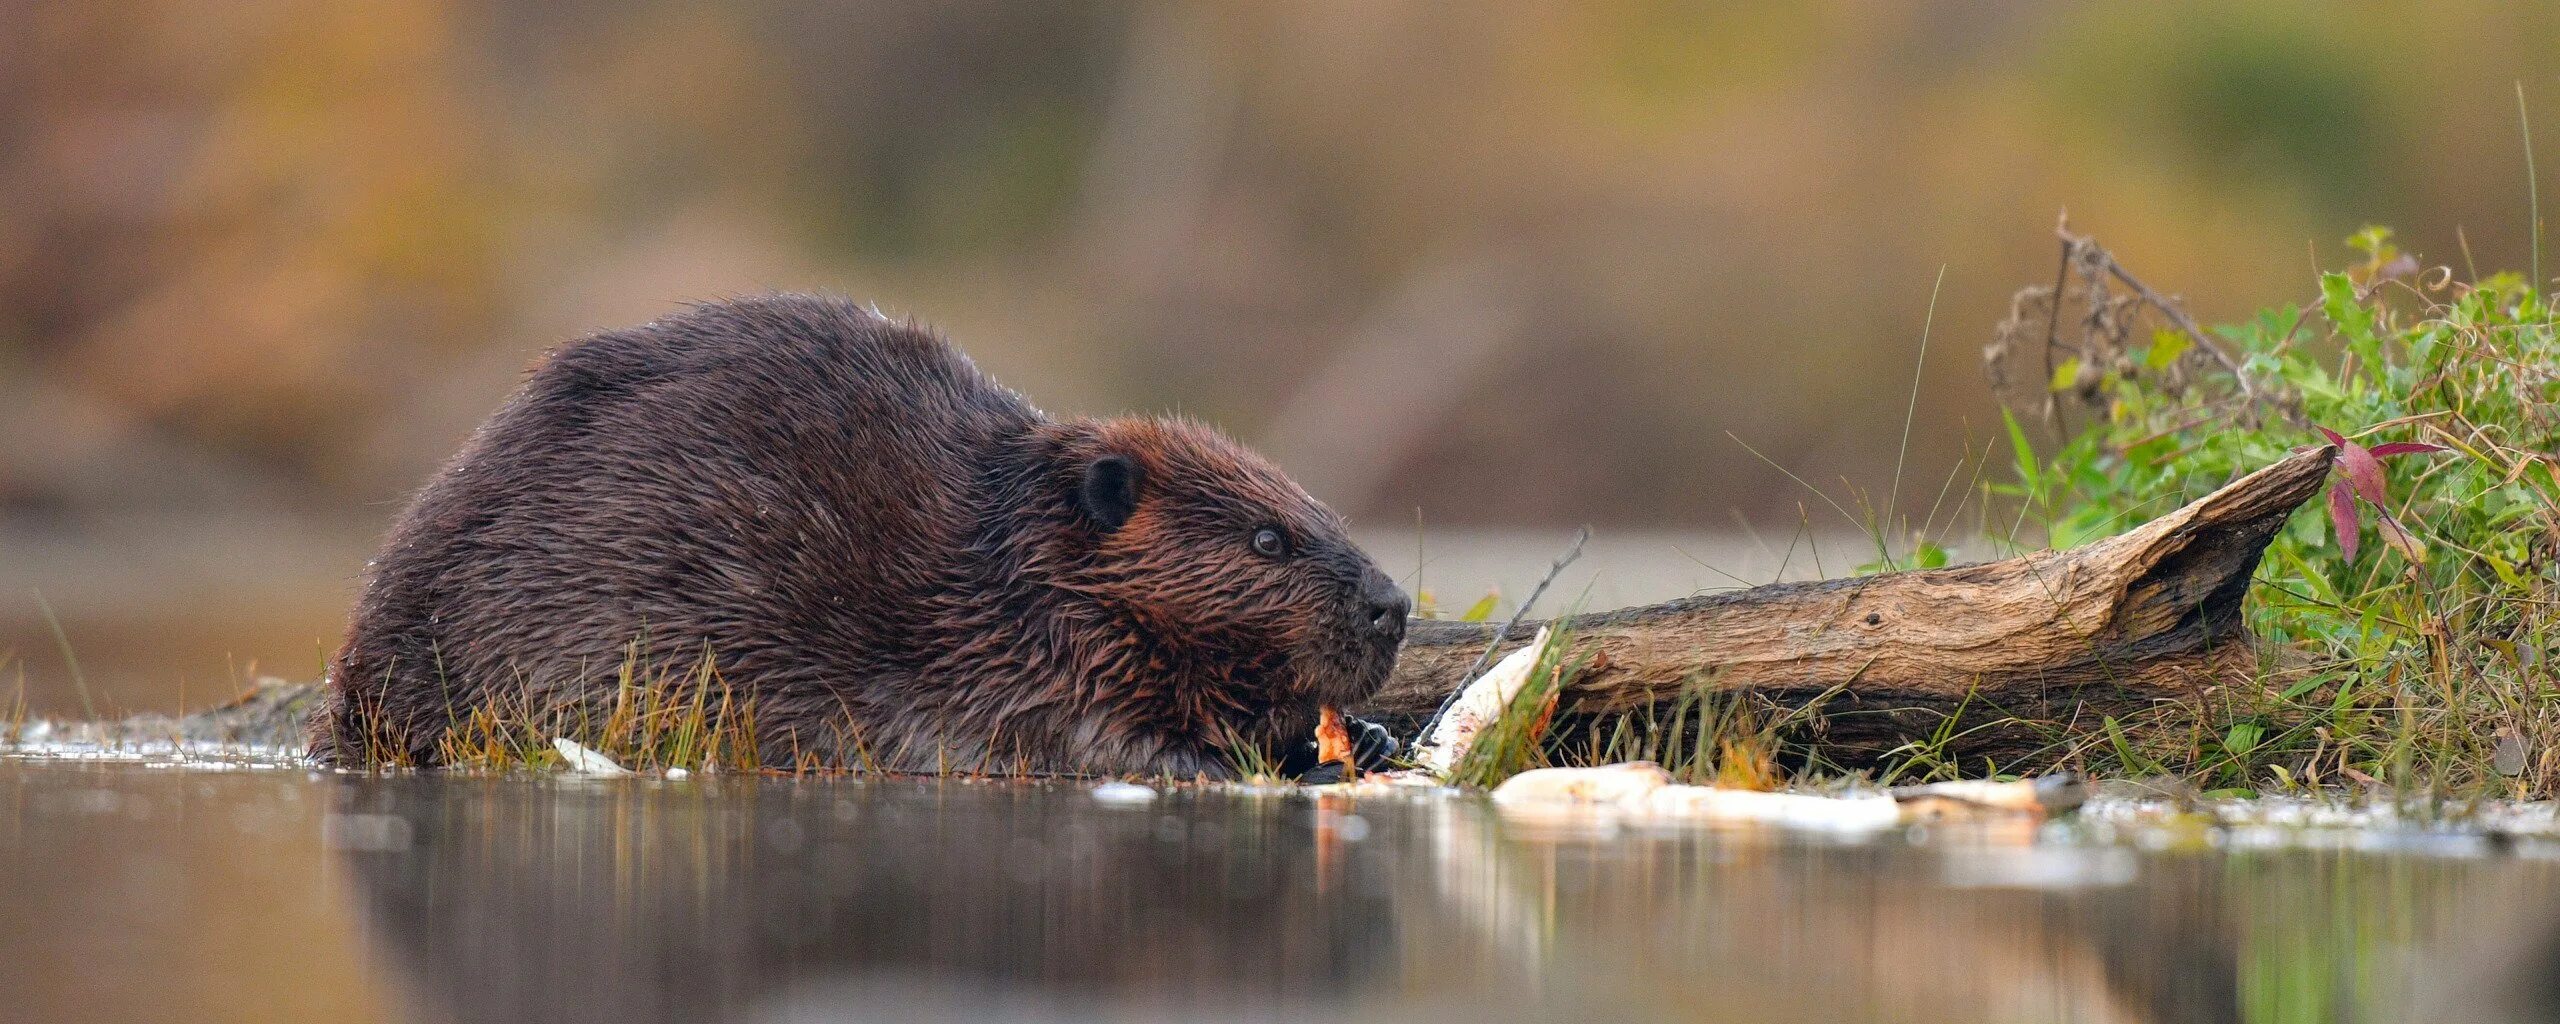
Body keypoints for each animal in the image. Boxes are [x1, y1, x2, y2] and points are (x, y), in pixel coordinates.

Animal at [314, 291, 1423, 773]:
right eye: (1268, 541)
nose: (1393, 605)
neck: (1003, 557)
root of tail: (349, 692)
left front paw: (1361, 735)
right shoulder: (1021, 657)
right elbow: (1094, 738)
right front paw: (1237, 760)